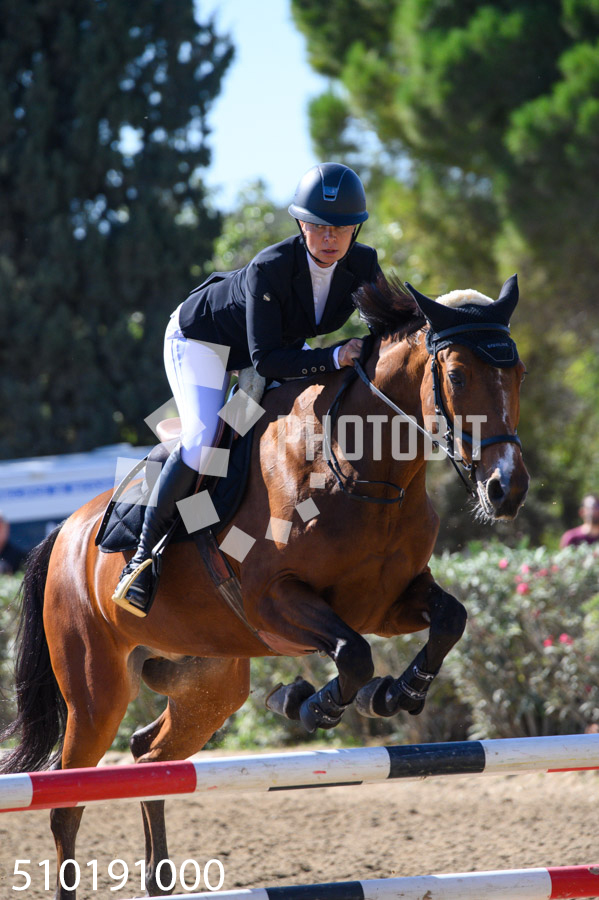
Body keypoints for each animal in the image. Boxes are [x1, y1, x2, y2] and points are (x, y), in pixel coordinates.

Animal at [0, 274, 528, 899]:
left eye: (519, 374)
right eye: (458, 376)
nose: (507, 490)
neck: (360, 468)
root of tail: (64, 533)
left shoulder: (385, 601)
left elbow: (449, 619)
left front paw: (398, 693)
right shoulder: (275, 601)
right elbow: (353, 654)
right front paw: (310, 702)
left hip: (209, 684)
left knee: (148, 757)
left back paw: (160, 875)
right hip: (96, 693)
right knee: (67, 803)